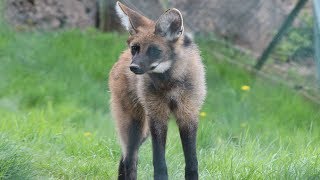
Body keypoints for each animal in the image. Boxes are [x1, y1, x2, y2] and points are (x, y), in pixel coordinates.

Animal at [109, 1, 206, 179]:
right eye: (135, 48)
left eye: (153, 50)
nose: (133, 67)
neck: (170, 83)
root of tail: (121, 58)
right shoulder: (157, 115)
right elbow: (159, 163)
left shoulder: (188, 114)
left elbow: (192, 163)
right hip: (136, 125)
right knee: (130, 159)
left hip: (143, 131)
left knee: (124, 157)